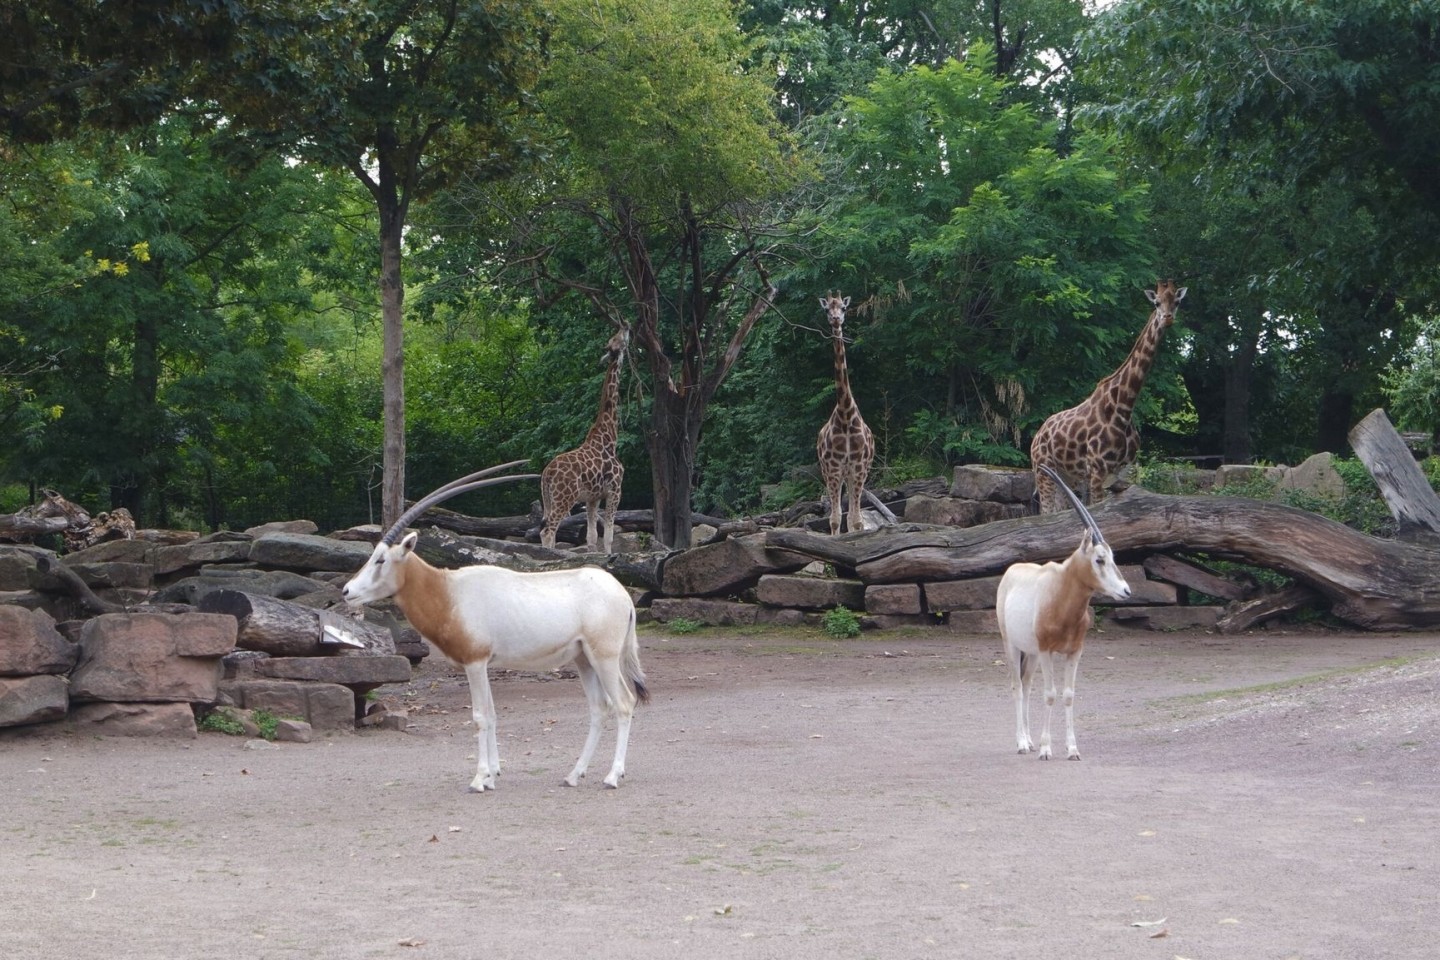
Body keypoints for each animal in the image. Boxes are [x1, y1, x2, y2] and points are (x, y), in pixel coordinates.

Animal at [541, 326, 630, 552]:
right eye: (617, 338)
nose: (626, 325)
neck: (609, 438)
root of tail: (546, 474)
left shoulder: (593, 498)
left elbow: (591, 536)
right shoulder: (615, 490)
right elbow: (608, 536)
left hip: (550, 499)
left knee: (547, 530)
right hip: (565, 497)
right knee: (548, 531)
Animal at [1031, 279, 1186, 515]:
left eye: (1176, 302)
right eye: (1157, 303)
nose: (1167, 318)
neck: (1124, 406)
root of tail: (1037, 436)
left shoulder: (1122, 470)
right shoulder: (1097, 469)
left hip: (1066, 475)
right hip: (1043, 470)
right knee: (1046, 513)